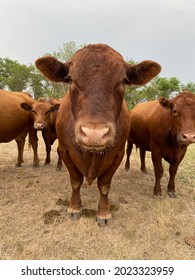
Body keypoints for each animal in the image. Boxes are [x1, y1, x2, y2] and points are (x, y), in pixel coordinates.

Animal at [34, 44, 160, 228]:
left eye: (123, 81)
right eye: (70, 79)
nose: (95, 134)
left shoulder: (118, 154)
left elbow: (104, 185)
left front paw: (103, 212)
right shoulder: (64, 150)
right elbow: (75, 181)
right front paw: (74, 207)